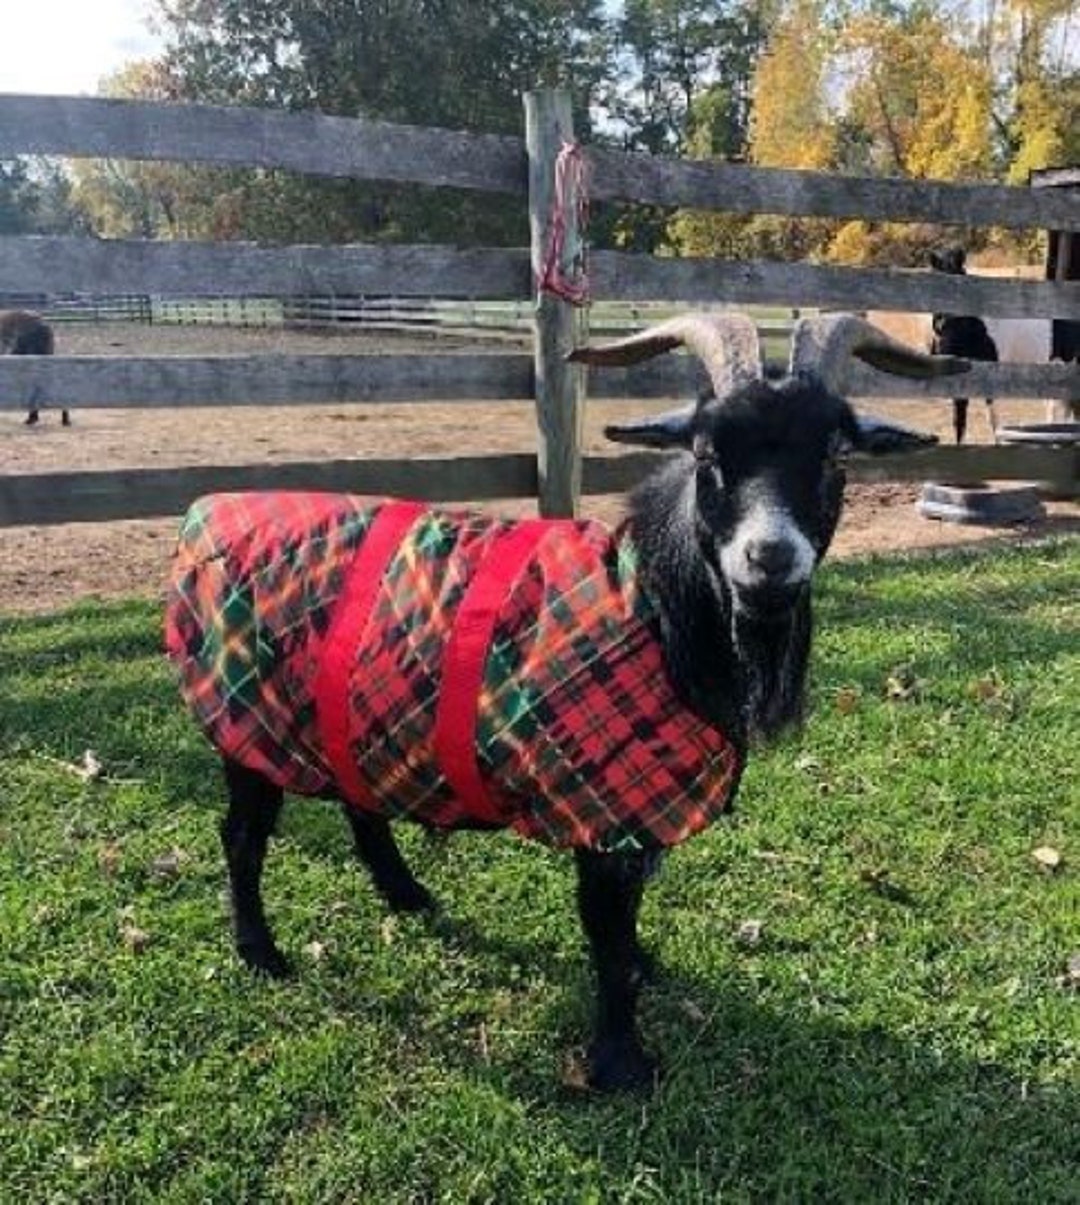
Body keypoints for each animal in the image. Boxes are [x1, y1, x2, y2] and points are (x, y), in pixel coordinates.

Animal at [165, 312, 966, 1091]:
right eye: (707, 455)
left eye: (836, 456)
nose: (770, 558)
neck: (657, 605)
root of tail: (208, 510)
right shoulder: (601, 810)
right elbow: (605, 936)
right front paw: (621, 1063)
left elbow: (627, 926)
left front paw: (644, 972)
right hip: (248, 725)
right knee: (240, 836)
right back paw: (261, 950)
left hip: (353, 710)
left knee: (360, 799)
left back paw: (406, 894)